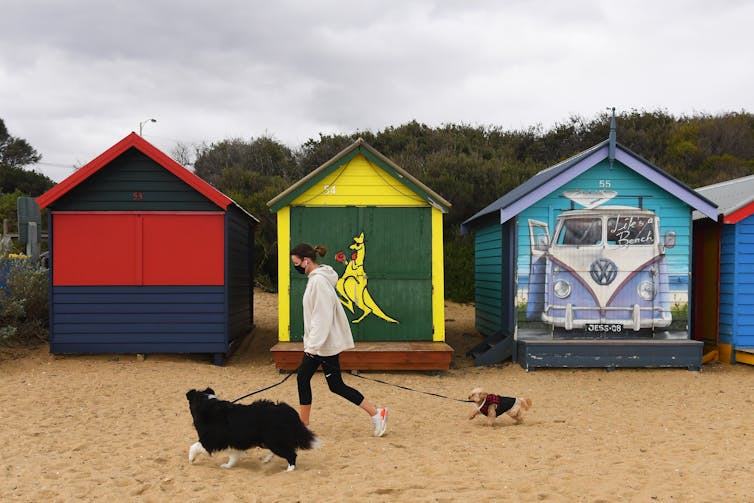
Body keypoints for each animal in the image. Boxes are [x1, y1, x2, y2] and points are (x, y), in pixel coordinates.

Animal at [187, 390, 320, 472]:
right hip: (269, 441)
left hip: (273, 441)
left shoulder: (210, 440)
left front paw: (191, 459)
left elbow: (194, 447)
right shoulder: (232, 441)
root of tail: (283, 409)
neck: (206, 405)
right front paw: (228, 466)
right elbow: (233, 456)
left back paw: (289, 470)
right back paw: (267, 459)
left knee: (292, 454)